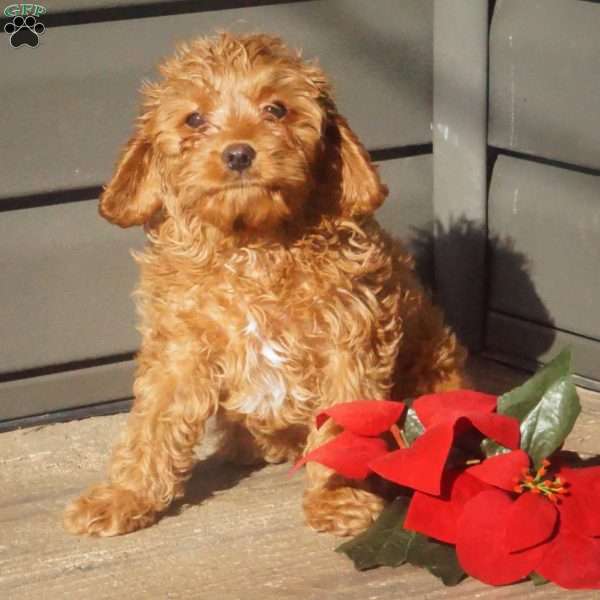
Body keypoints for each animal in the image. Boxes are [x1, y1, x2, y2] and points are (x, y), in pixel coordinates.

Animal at [67, 31, 468, 540]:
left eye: (276, 109)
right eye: (194, 118)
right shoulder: (180, 345)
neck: (252, 245)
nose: (238, 153)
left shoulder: (349, 338)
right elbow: (152, 423)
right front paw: (125, 495)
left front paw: (335, 497)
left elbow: (341, 423)